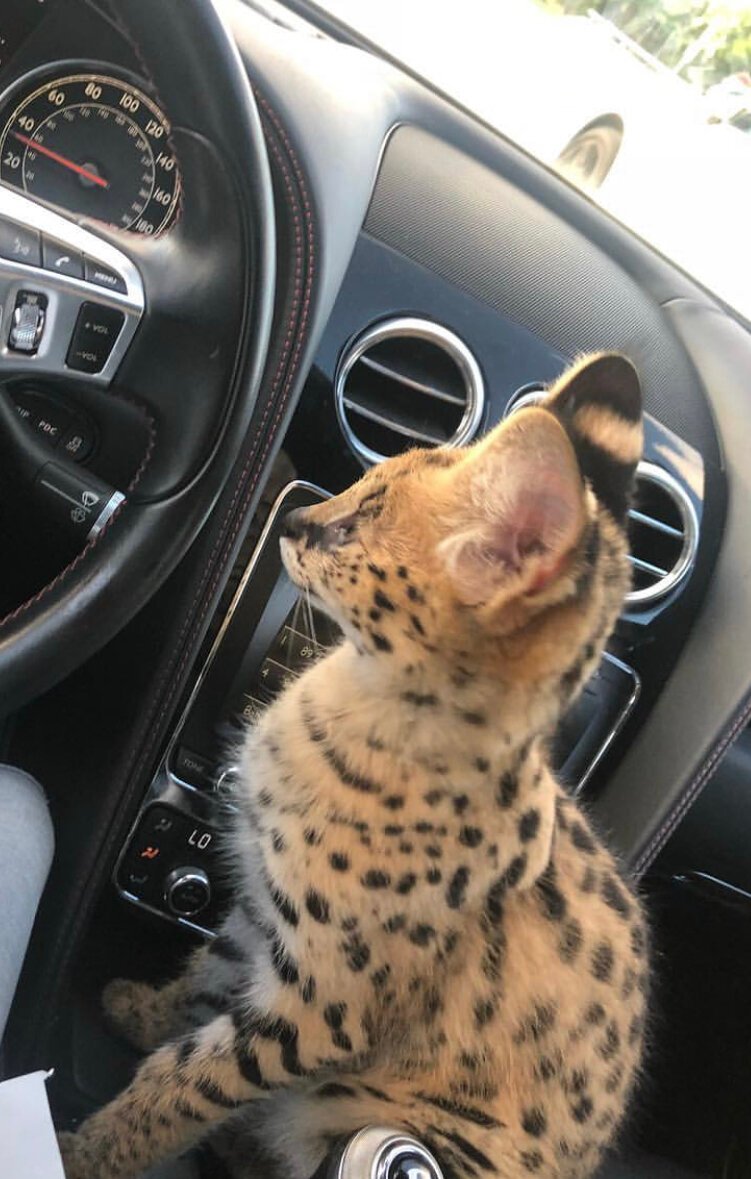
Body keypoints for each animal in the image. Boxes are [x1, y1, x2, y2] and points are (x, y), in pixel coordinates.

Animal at [59, 351, 649, 1179]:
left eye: (351, 528)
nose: (290, 515)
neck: (349, 694)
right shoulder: (263, 917)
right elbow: (203, 982)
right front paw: (141, 1012)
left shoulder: (320, 1008)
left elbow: (183, 1083)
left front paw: (86, 1152)